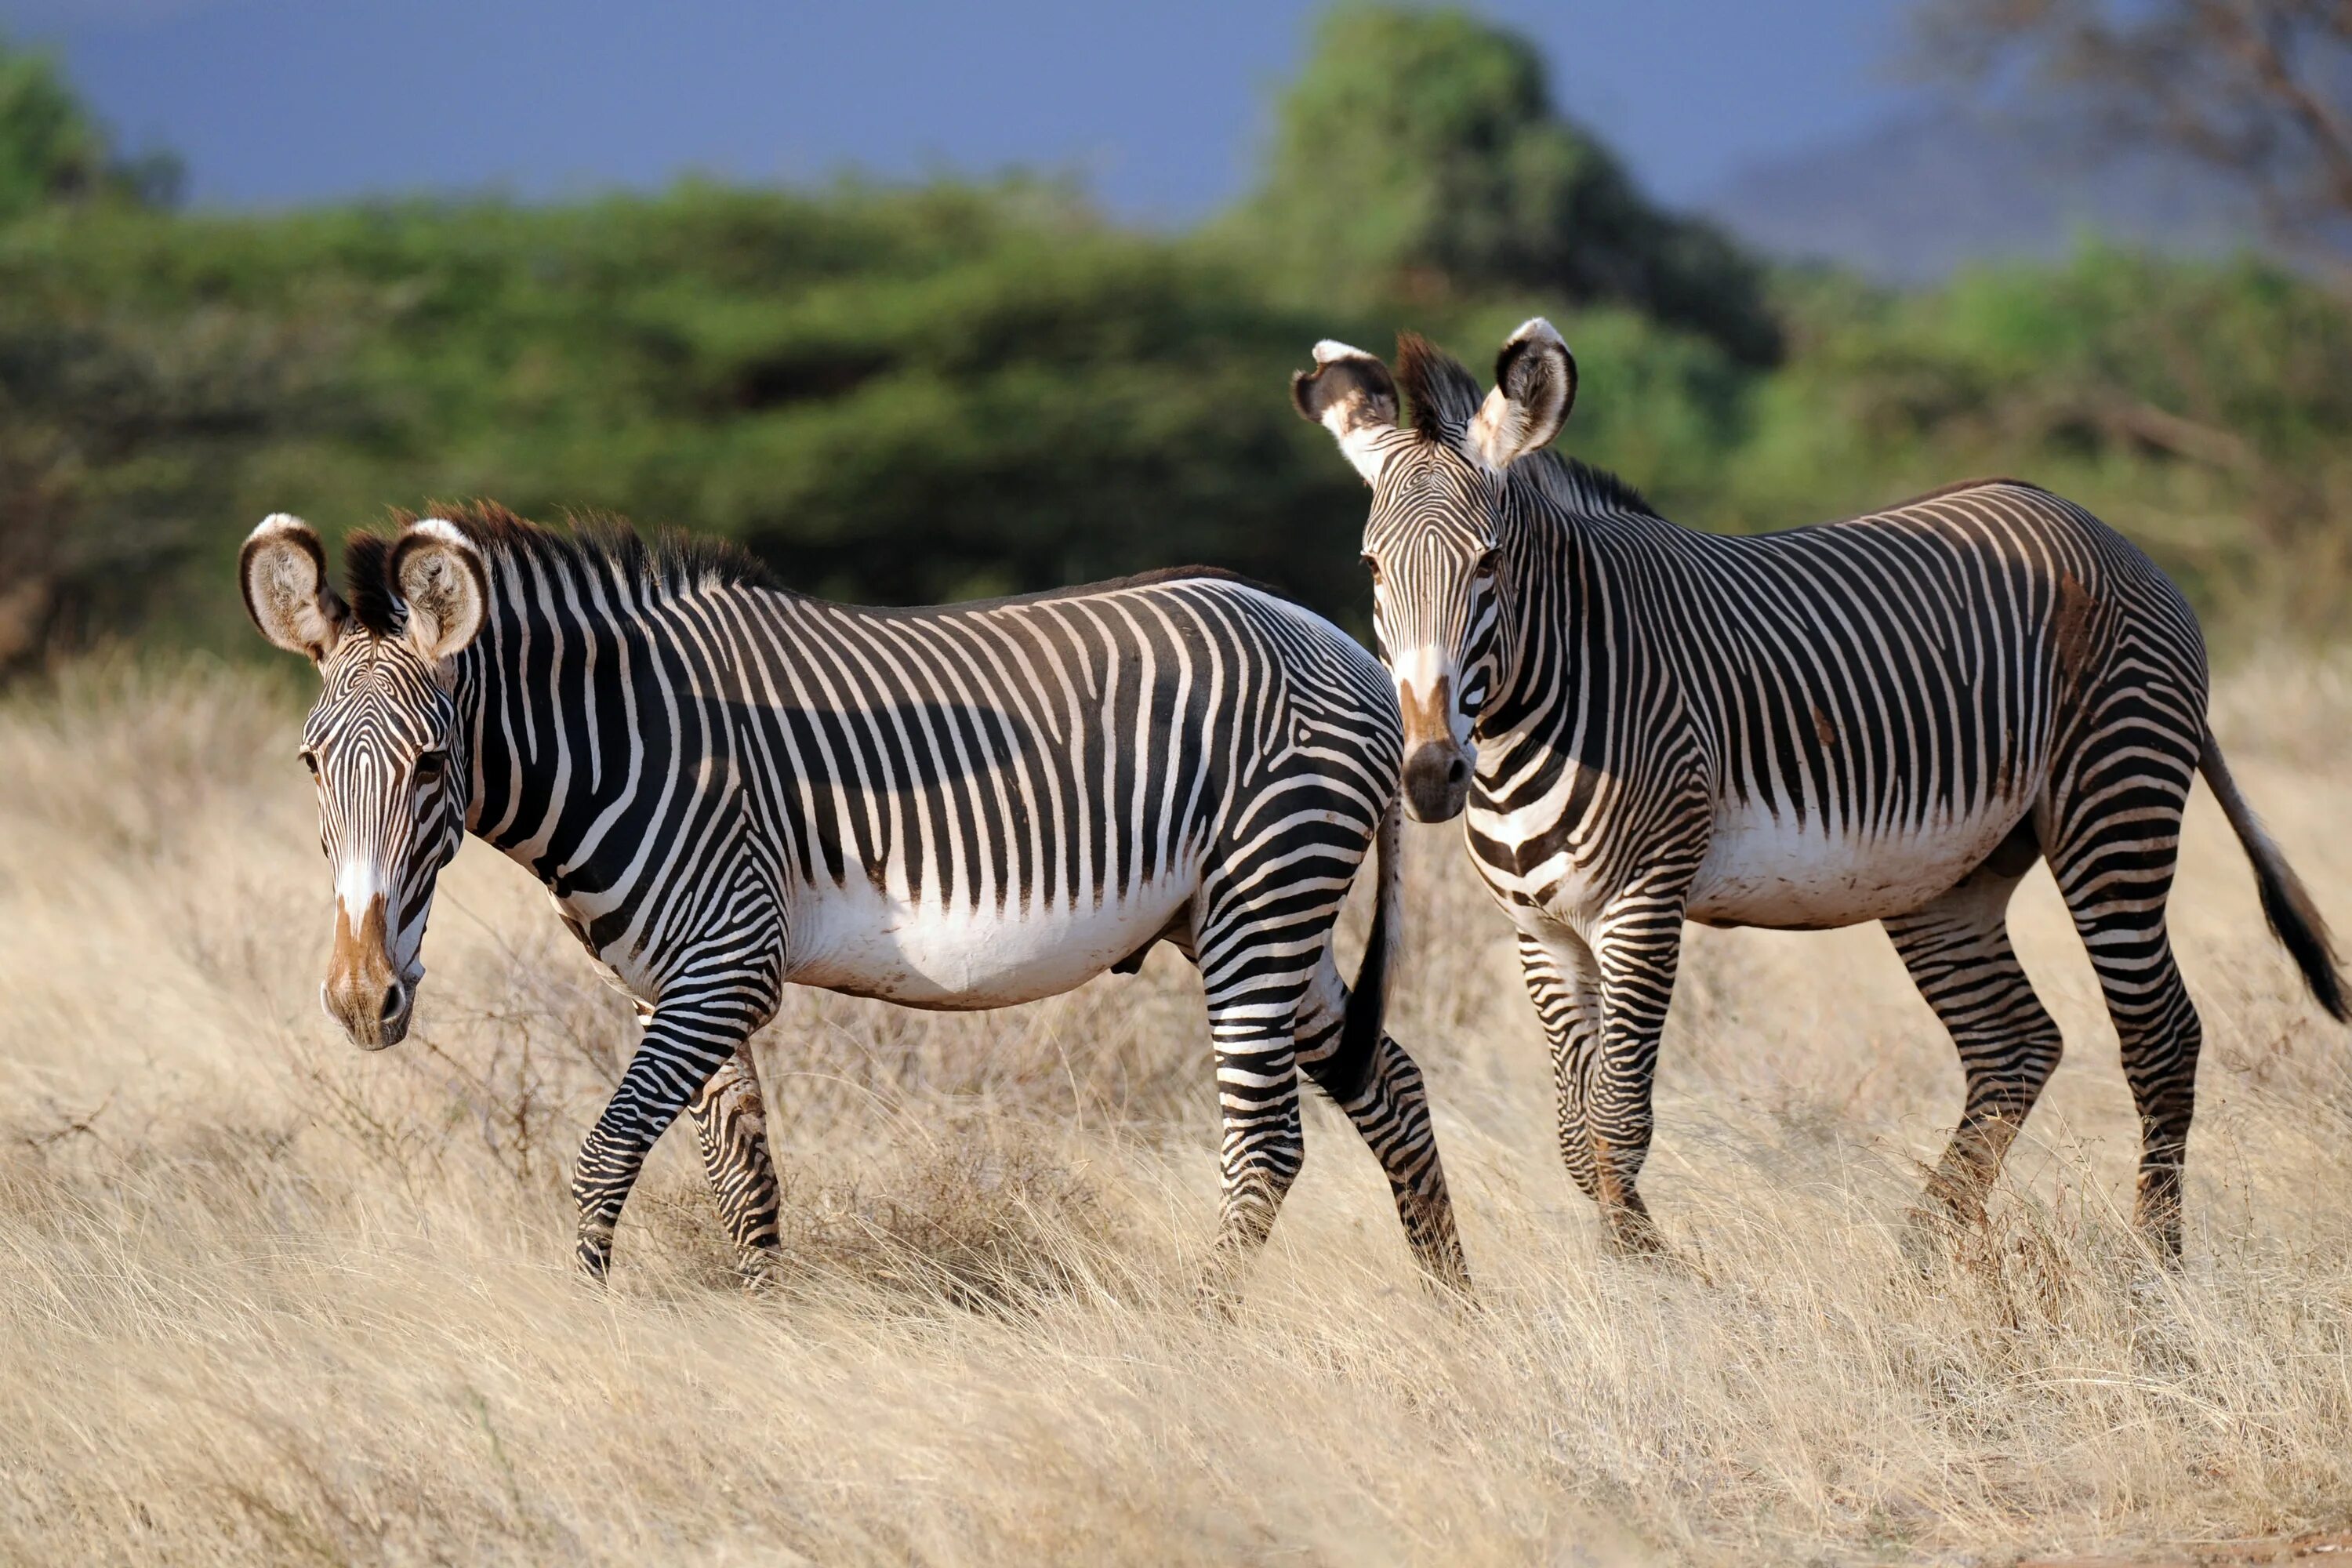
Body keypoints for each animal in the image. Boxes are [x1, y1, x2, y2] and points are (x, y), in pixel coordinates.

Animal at [229, 505, 1458, 1298]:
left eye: (433, 765)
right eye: (307, 764)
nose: (362, 1000)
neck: (630, 741)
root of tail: (1343, 646)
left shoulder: (728, 960)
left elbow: (608, 1152)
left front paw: (584, 1320)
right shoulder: (676, 984)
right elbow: (743, 1182)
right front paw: (766, 1335)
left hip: (1266, 887)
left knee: (1267, 1145)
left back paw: (1203, 1327)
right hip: (1242, 915)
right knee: (1389, 1083)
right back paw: (1454, 1309)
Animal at [1298, 319, 2343, 1260]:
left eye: (1490, 563)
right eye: (1371, 568)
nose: (1432, 773)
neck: (1539, 705)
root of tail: (2106, 532)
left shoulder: (1643, 903)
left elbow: (1616, 1121)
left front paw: (1654, 1290)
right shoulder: (1540, 928)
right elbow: (1572, 1131)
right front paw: (1626, 1272)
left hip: (2114, 805)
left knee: (2161, 1036)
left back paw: (2152, 1266)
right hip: (1948, 877)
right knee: (2016, 1044)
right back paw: (1919, 1256)